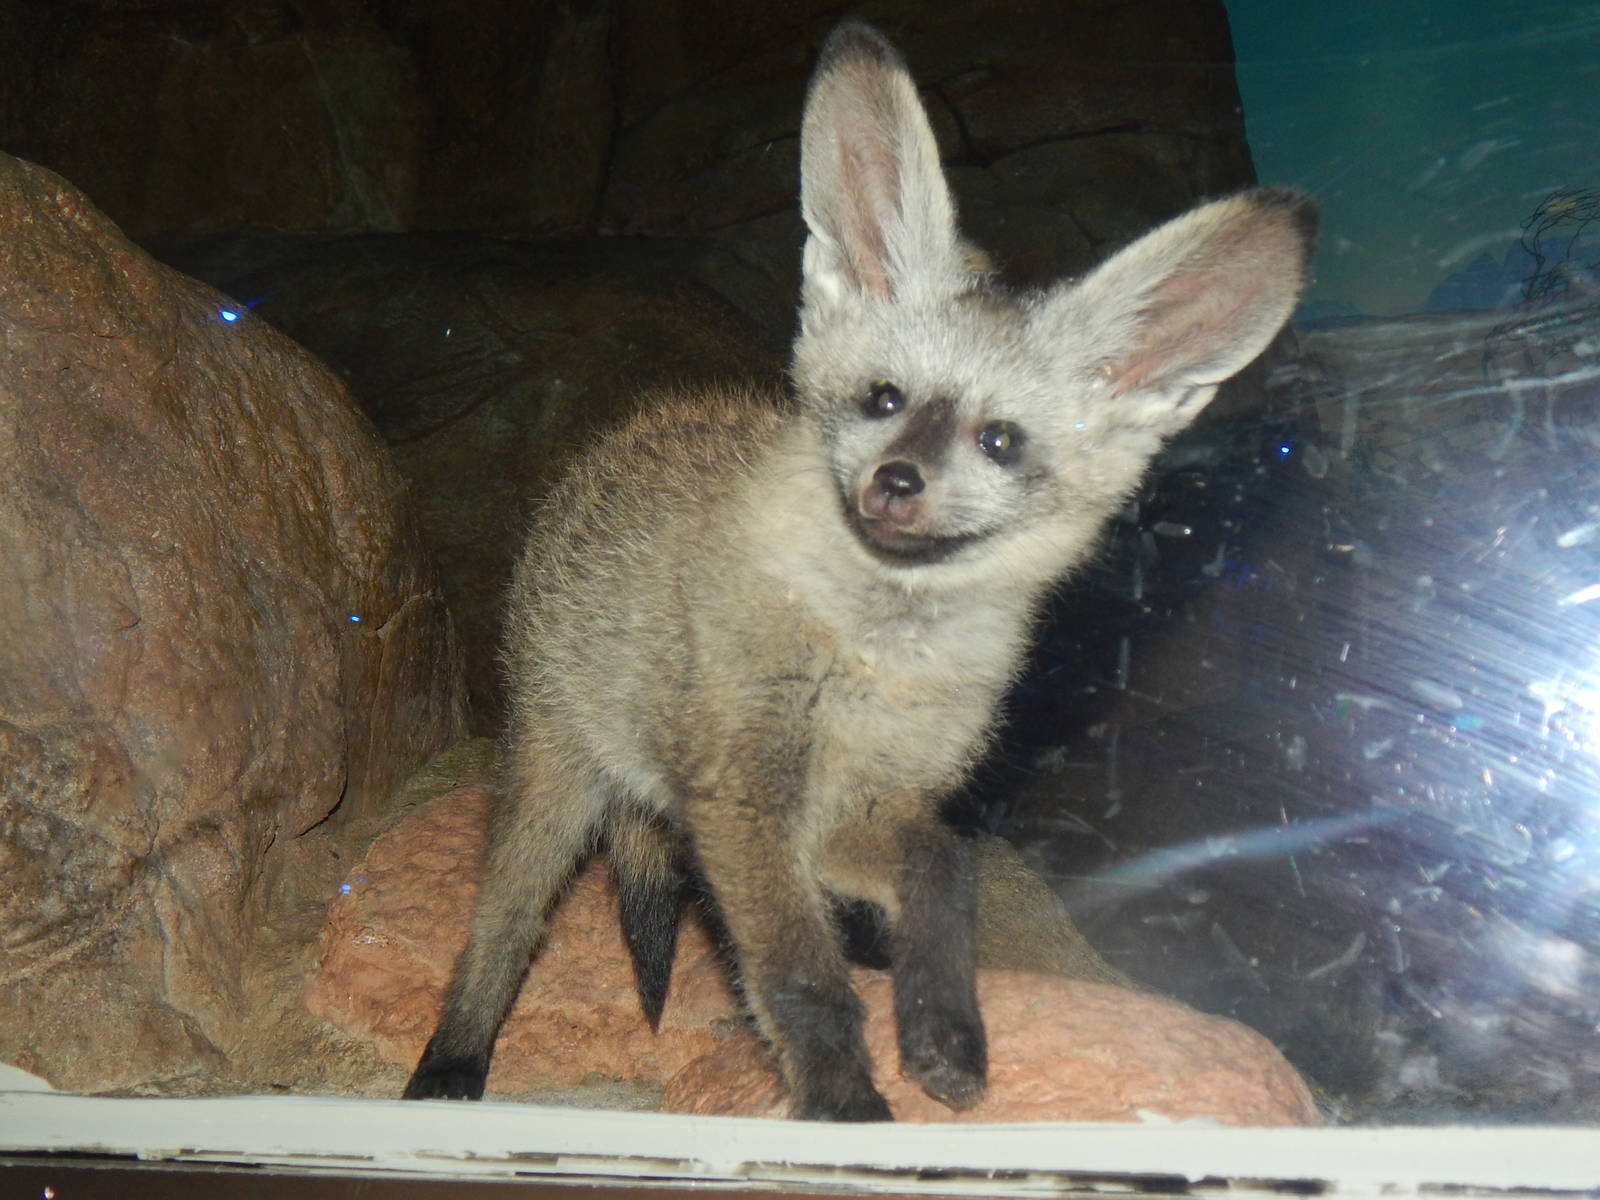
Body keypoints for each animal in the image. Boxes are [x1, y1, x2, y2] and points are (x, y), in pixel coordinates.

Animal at [402, 19, 1316, 1121]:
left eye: (999, 442)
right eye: (884, 399)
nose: (895, 483)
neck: (874, 657)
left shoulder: (860, 810)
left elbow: (944, 873)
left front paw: (941, 1029)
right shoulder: (746, 800)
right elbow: (802, 978)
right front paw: (845, 1107)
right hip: (554, 777)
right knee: (498, 931)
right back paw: (447, 1067)